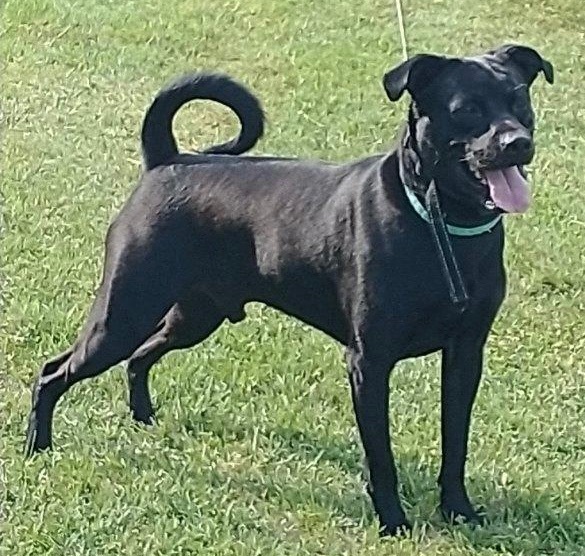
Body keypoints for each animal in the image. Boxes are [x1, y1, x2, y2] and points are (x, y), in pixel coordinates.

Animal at [24, 44, 552, 540]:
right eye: (466, 109)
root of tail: (167, 162)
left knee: (140, 357)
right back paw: (37, 446)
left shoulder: (466, 354)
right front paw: (393, 521)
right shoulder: (369, 361)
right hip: (122, 312)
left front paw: (458, 510)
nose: (518, 142)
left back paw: (143, 417)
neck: (438, 221)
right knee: (53, 373)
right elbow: (380, 456)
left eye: (518, 100)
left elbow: (455, 442)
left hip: (192, 316)